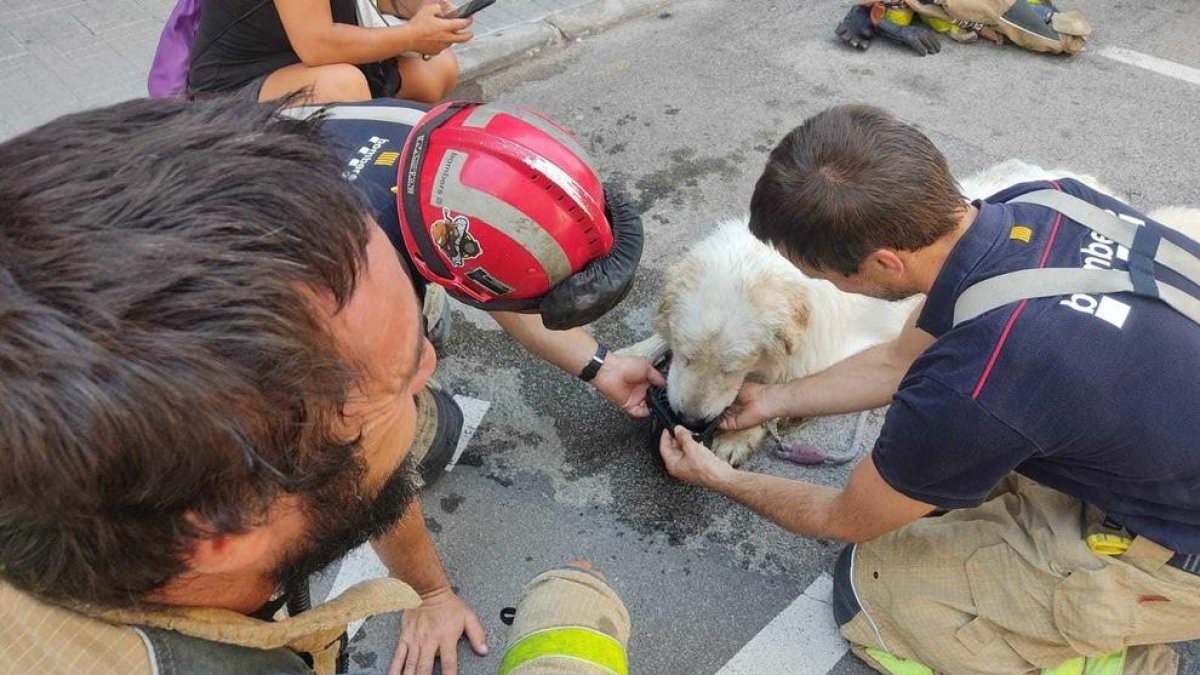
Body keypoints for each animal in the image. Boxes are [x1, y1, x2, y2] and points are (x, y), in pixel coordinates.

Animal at [624, 158, 1195, 466]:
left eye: (732, 367)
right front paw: (635, 354)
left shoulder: (844, 350)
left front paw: (739, 433)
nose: (688, 418)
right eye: (689, 356)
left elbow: (793, 384)